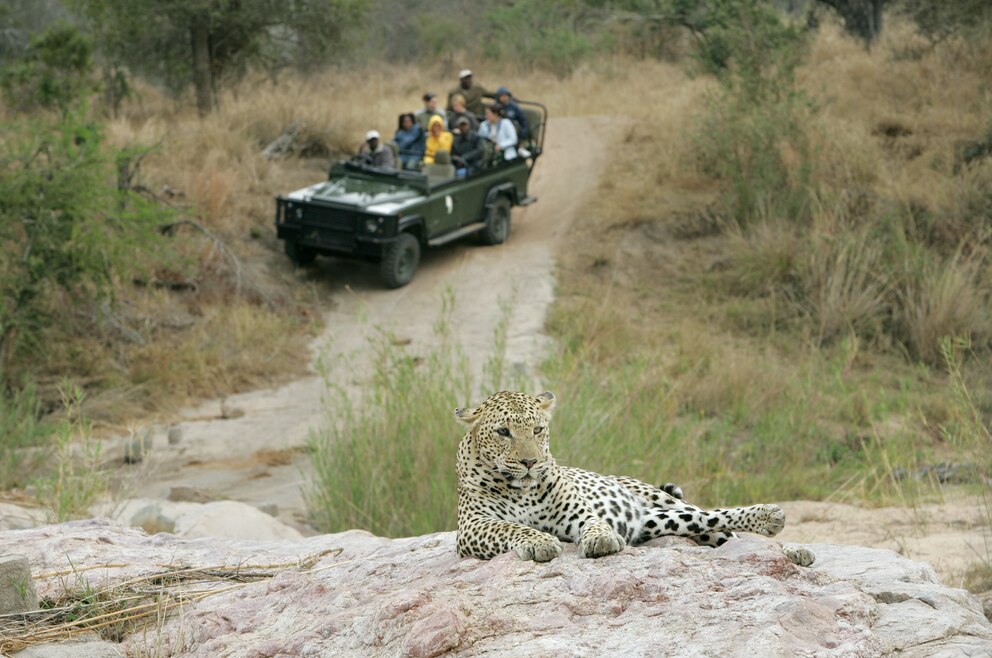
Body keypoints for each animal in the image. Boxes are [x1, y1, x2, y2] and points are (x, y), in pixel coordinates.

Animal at [456, 390, 812, 564]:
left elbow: (595, 523)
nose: (530, 461)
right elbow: (509, 527)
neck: (522, 489)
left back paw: (783, 537)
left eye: (538, 430)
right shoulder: (472, 526)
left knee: (718, 520)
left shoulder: (577, 512)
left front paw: (602, 540)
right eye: (503, 432)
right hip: (658, 521)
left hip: (665, 501)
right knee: (709, 525)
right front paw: (540, 542)